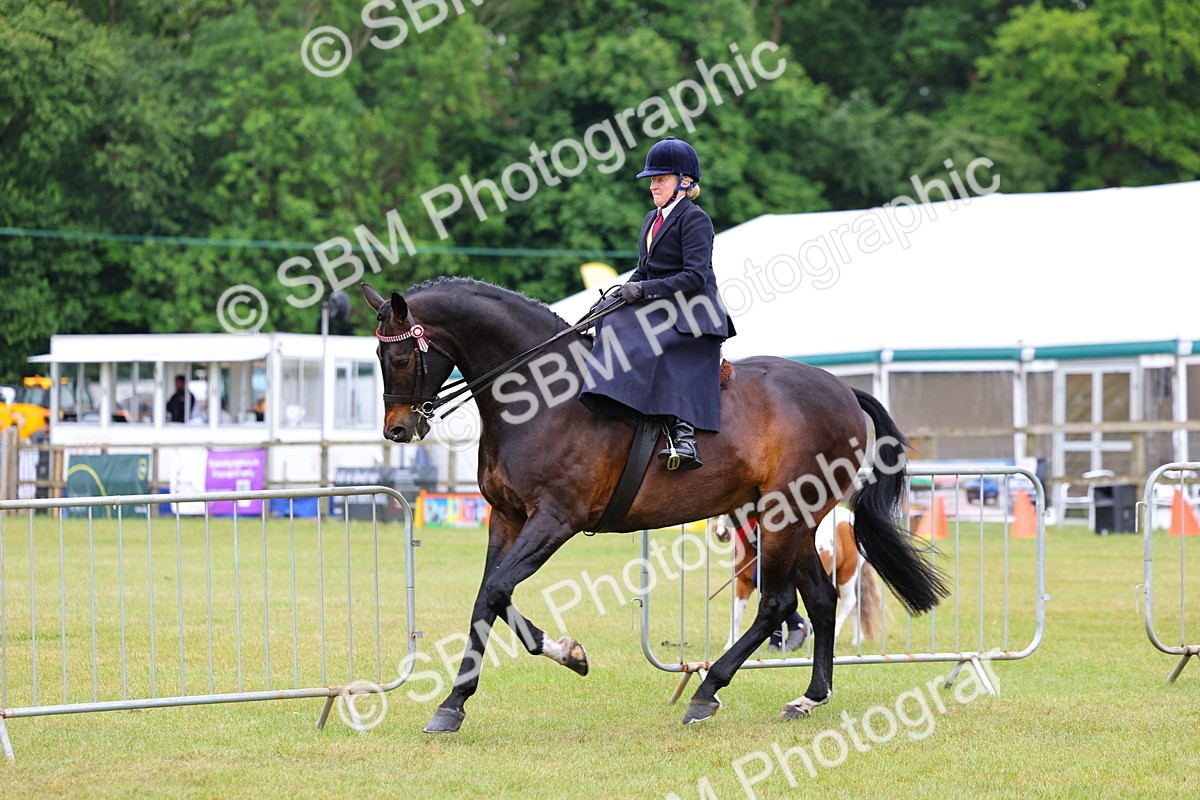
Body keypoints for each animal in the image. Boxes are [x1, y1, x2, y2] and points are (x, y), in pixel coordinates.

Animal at [712, 507, 882, 651]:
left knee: (849, 602)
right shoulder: (743, 583)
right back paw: (856, 640)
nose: (722, 533)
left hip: (847, 574)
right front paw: (730, 643)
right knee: (855, 606)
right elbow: (736, 613)